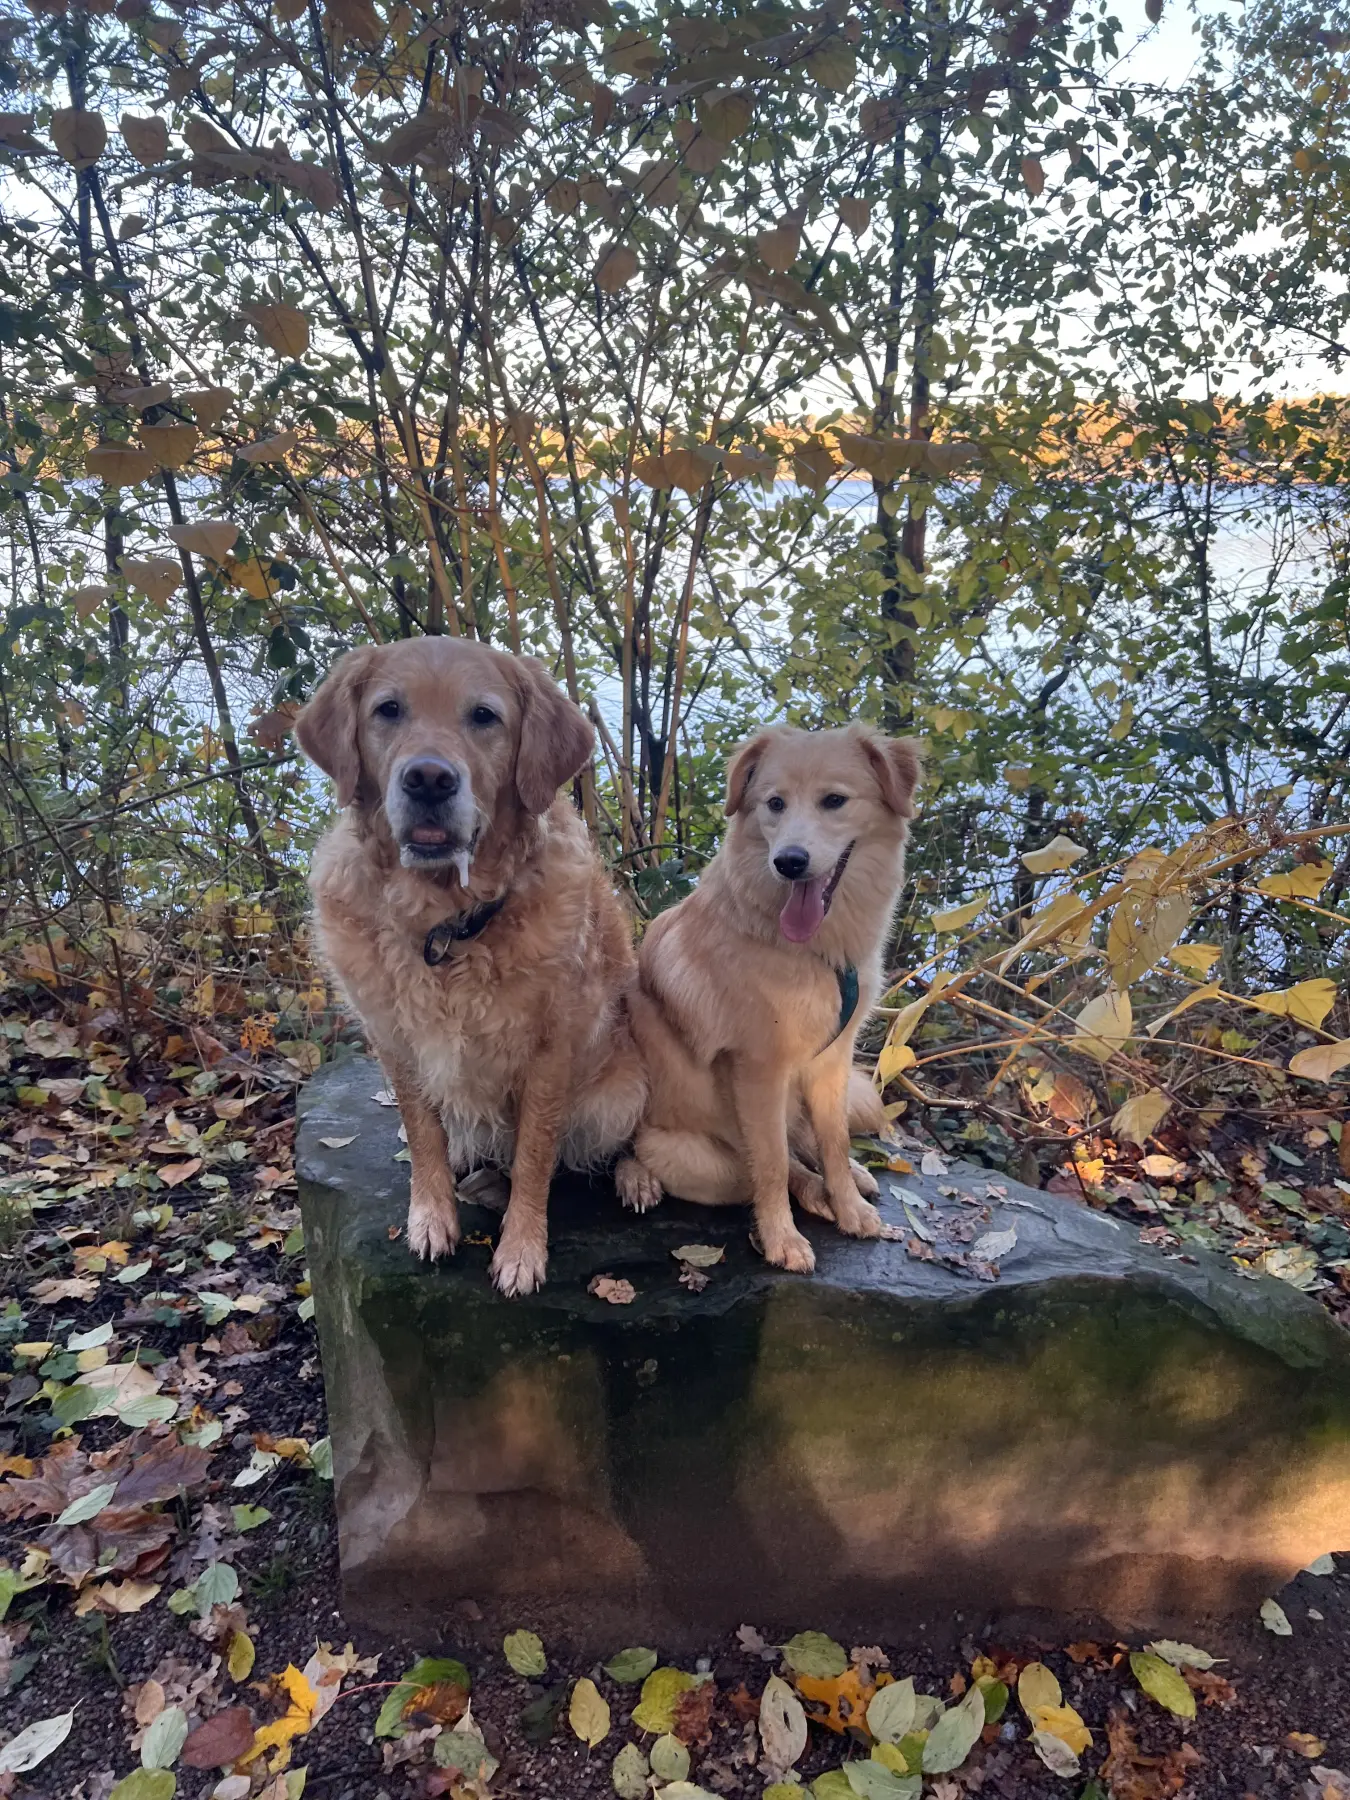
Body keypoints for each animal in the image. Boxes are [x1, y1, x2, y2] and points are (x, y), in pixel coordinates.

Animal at [630, 723, 928, 1274]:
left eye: (834, 801)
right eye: (774, 803)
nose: (789, 862)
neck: (815, 951)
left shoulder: (832, 1057)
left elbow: (834, 1142)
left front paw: (848, 1206)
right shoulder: (758, 1070)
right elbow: (769, 1164)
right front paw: (782, 1239)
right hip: (685, 1155)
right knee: (770, 1165)